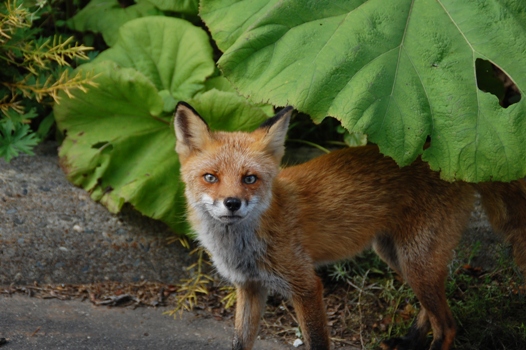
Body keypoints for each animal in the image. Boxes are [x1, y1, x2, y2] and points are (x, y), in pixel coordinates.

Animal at [174, 102, 526, 350]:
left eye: (250, 179)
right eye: (210, 177)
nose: (232, 203)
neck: (243, 245)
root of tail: (452, 163)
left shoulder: (306, 287)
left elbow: (317, 342)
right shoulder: (249, 287)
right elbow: (239, 342)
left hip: (415, 261)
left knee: (448, 325)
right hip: (397, 256)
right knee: (435, 308)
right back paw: (409, 341)